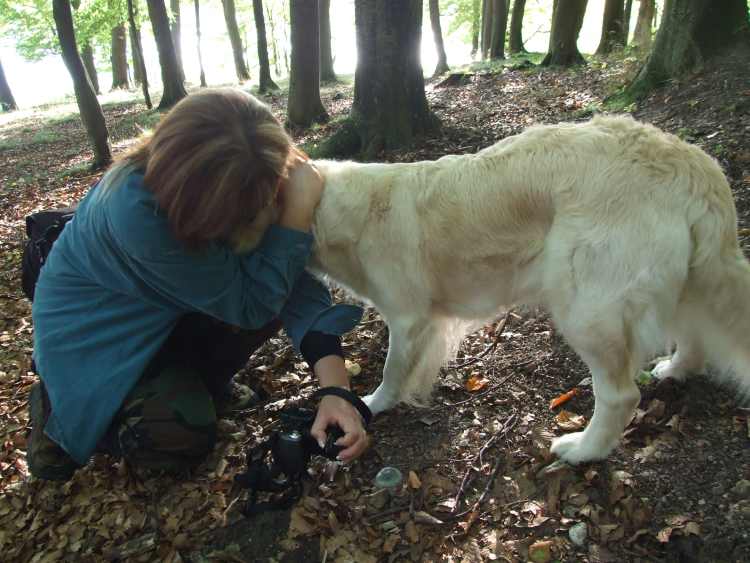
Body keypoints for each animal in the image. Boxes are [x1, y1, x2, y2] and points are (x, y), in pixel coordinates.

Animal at [244, 115, 748, 468]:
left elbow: (392, 370)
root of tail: (690, 163)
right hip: (682, 284)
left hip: (587, 309)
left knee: (621, 395)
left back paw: (584, 449)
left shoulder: (409, 318)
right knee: (695, 338)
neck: (339, 209)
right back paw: (674, 369)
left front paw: (373, 405)